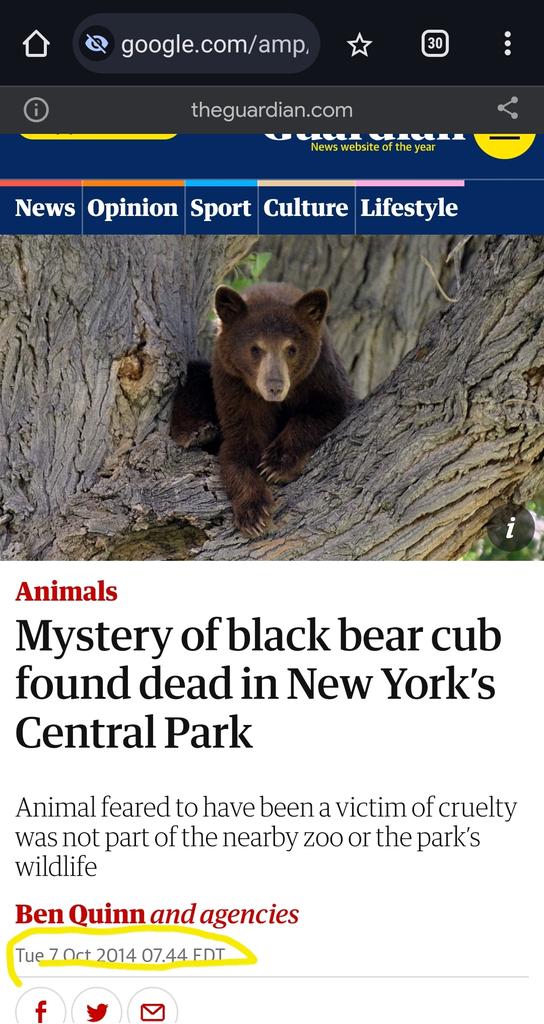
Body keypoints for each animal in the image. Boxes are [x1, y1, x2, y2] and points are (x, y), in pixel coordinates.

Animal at [171, 282, 354, 536]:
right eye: (255, 349)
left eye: (291, 349)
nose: (274, 386)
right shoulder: (234, 386)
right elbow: (240, 443)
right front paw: (253, 512)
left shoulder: (321, 374)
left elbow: (328, 409)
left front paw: (276, 464)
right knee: (195, 374)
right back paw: (196, 431)